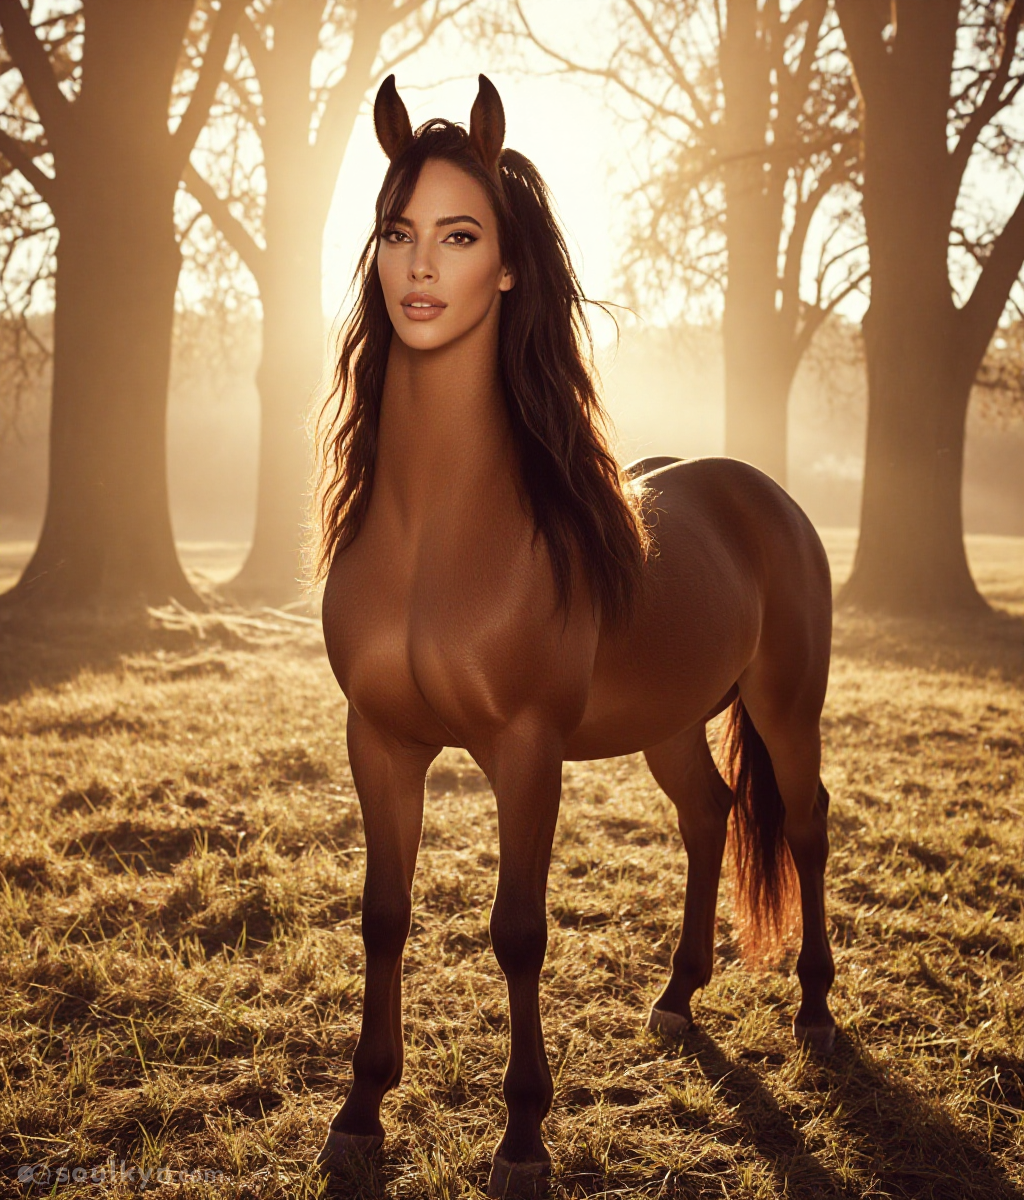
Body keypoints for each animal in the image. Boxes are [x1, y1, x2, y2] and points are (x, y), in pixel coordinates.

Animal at [315, 75, 835, 1198]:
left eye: (461, 231)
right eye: (393, 227)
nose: (418, 287)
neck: (439, 533)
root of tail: (761, 493)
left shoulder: (525, 751)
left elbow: (518, 933)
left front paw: (521, 1140)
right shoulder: (381, 741)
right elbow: (383, 915)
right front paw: (359, 1117)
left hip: (786, 703)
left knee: (806, 825)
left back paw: (817, 1013)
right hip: (672, 723)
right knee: (708, 814)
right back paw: (678, 998)